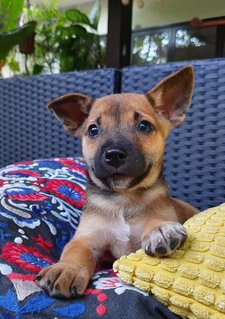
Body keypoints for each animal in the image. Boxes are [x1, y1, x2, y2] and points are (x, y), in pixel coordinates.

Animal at [36, 66, 198, 298]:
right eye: (93, 130)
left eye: (144, 126)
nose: (114, 154)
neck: (124, 198)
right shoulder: (86, 238)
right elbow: (76, 251)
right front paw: (66, 269)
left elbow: (155, 219)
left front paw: (159, 229)